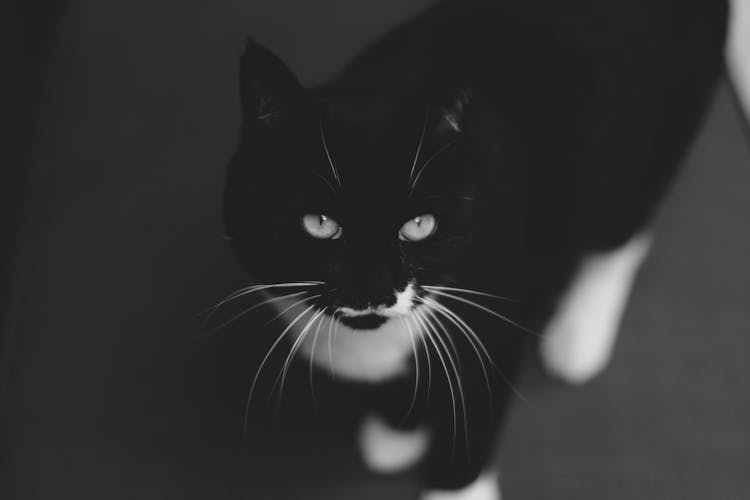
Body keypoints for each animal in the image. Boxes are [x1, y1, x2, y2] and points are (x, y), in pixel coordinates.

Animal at [222, 0, 728, 496]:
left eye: (419, 225)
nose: (376, 287)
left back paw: (579, 333)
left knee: (623, 228)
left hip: (665, 122)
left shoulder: (499, 326)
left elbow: (475, 415)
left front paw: (453, 480)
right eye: (321, 223)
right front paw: (399, 430)